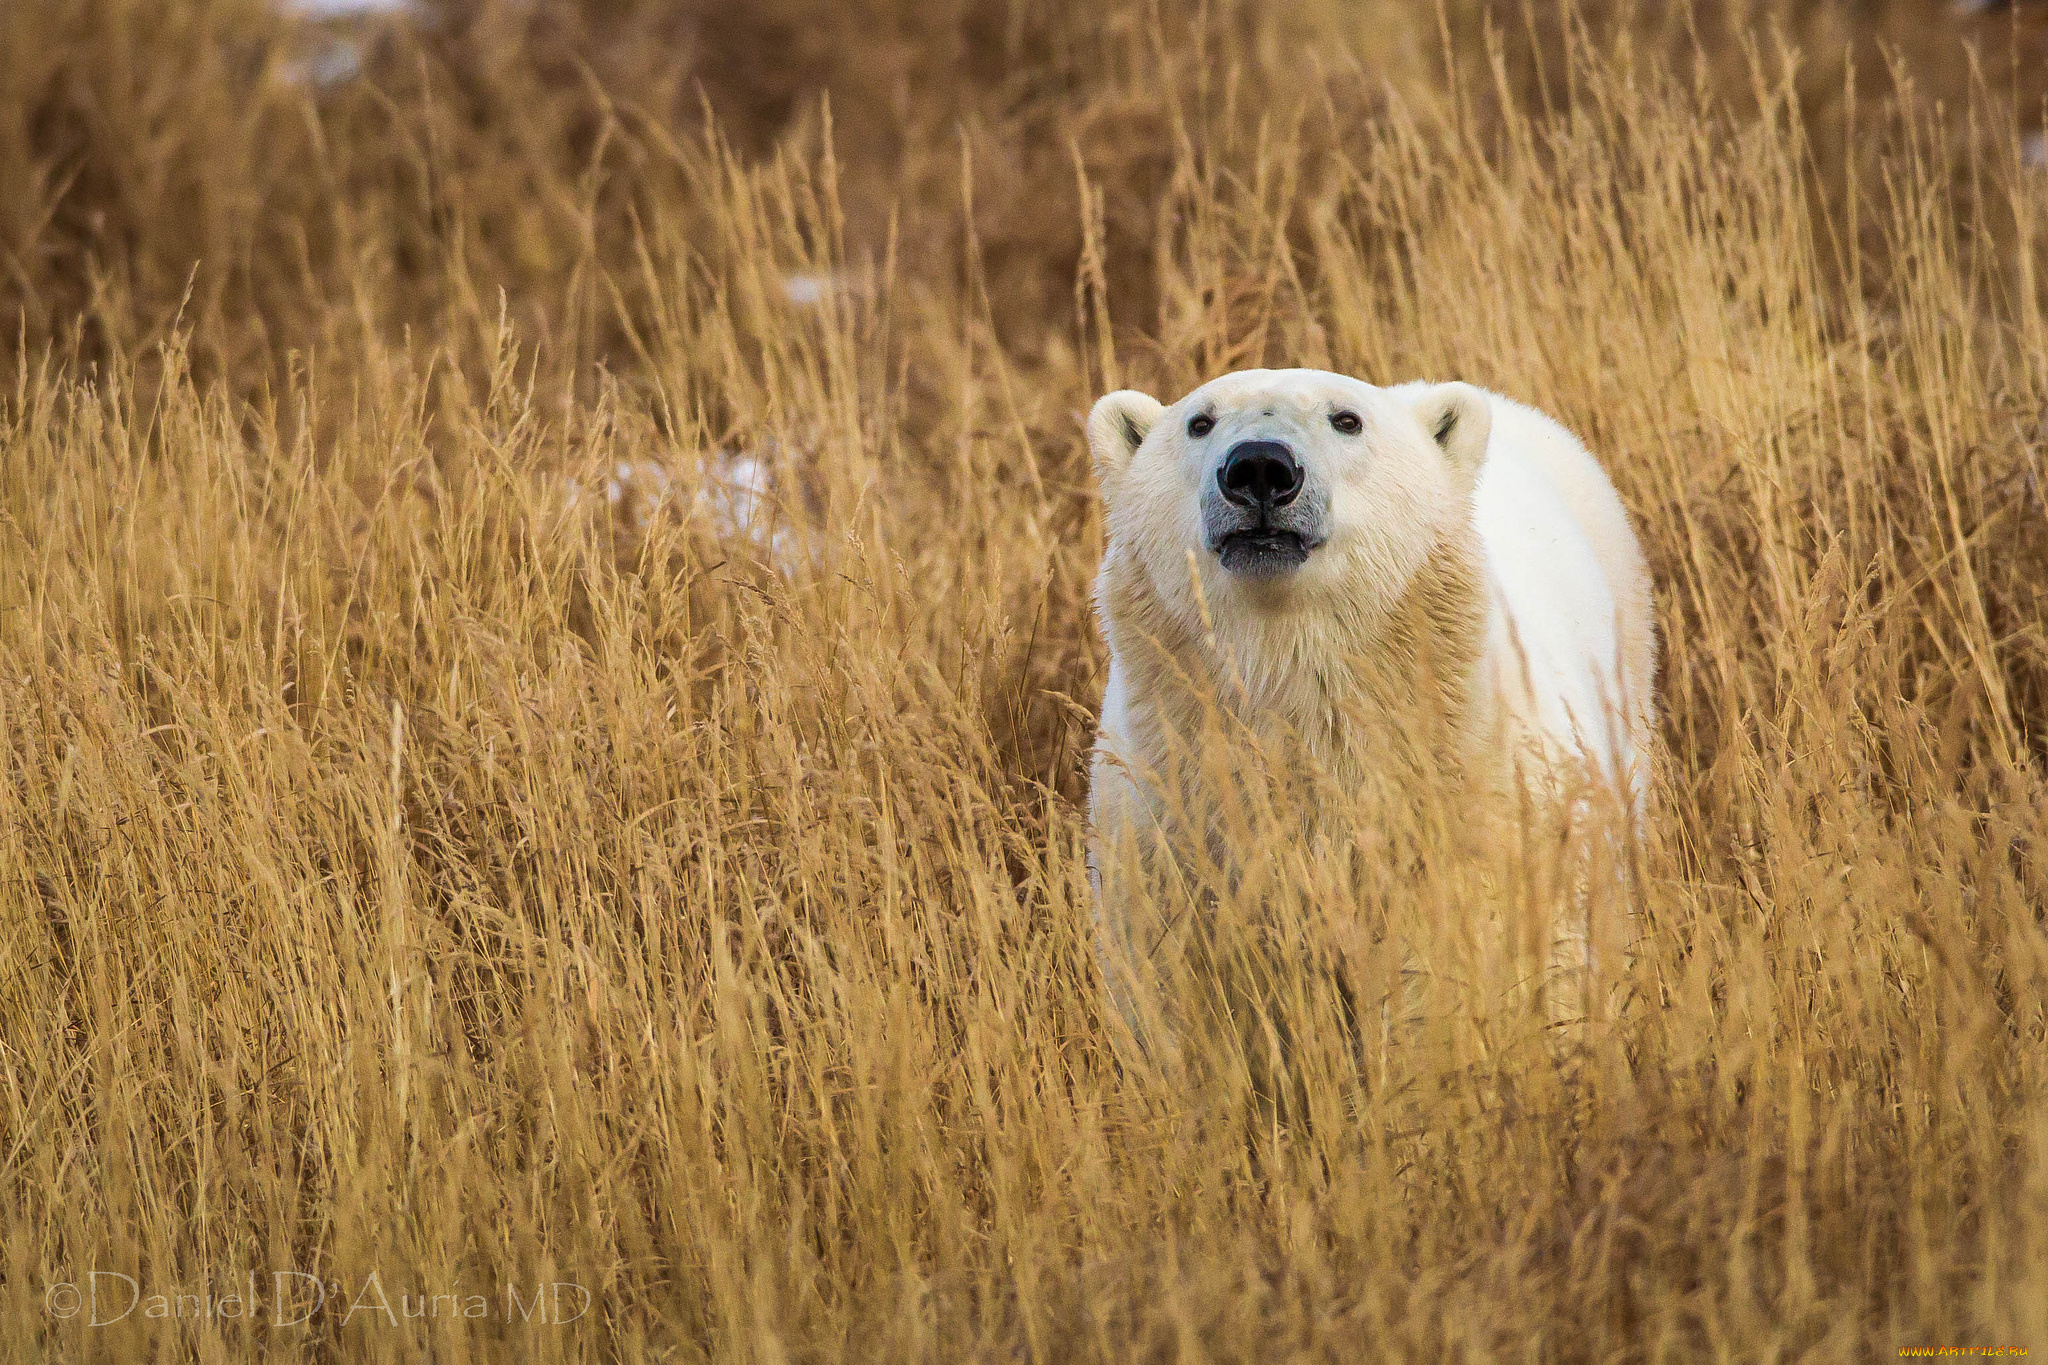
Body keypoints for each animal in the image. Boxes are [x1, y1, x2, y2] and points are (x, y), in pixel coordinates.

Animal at [1081, 368, 1654, 1039]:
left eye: (1346, 419)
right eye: (1200, 422)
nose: (1259, 468)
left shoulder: (1474, 807)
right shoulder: (1173, 826)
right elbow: (1183, 991)